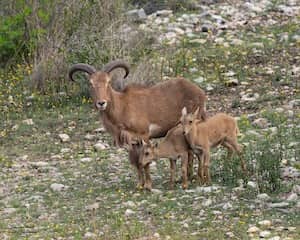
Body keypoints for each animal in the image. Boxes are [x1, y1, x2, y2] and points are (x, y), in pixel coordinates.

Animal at [69, 60, 207, 189]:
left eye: (108, 82)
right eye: (91, 83)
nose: (101, 103)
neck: (122, 106)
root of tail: (200, 92)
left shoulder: (144, 135)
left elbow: (146, 162)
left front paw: (148, 185)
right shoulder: (132, 141)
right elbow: (136, 162)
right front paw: (140, 185)